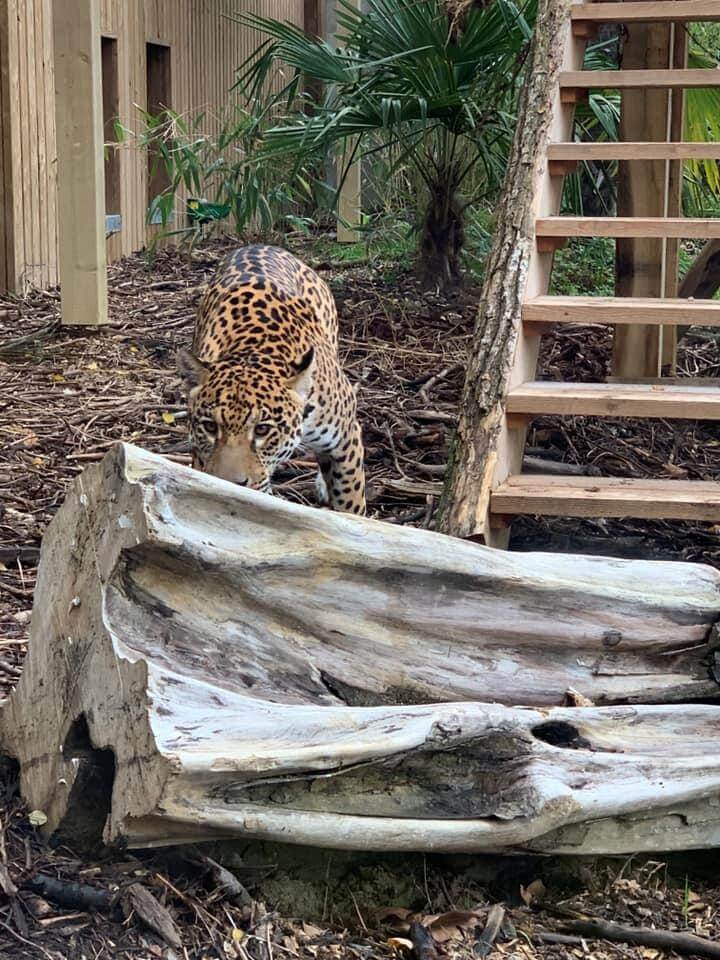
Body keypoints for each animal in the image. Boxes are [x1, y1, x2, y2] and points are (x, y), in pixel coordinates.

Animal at [177, 244, 366, 515]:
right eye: (210, 427)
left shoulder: (346, 438)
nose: (231, 484)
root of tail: (262, 245)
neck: (253, 348)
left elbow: (351, 501)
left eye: (262, 429)